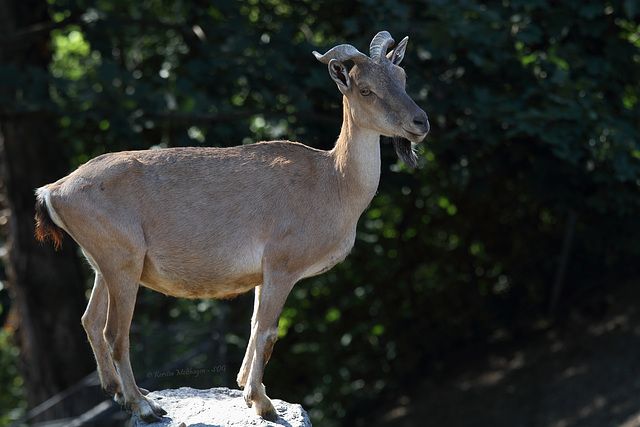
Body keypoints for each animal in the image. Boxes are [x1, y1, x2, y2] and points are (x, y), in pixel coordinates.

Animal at [33, 31, 430, 422]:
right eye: (365, 89)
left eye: (403, 77)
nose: (420, 122)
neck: (332, 182)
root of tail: (53, 191)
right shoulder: (283, 264)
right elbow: (268, 331)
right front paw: (262, 402)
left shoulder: (261, 274)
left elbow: (254, 326)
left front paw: (244, 387)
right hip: (122, 261)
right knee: (115, 331)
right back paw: (145, 406)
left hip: (103, 264)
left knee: (90, 320)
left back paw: (120, 393)